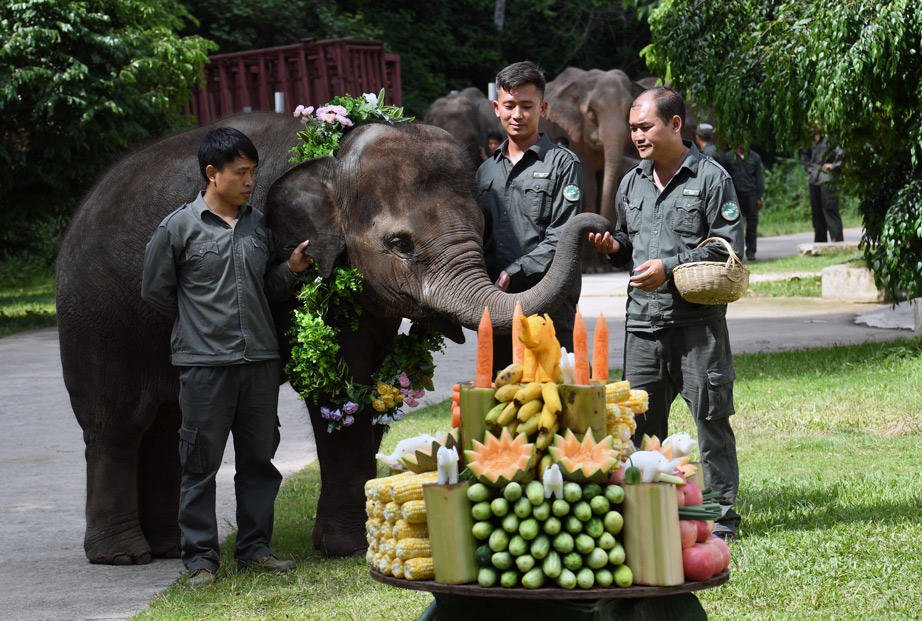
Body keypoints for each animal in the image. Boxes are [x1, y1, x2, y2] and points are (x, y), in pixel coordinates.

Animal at [54, 111, 608, 560]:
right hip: (93, 314)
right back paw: (122, 556)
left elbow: (372, 385)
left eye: (484, 226)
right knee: (118, 423)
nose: (600, 227)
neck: (335, 158)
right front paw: (349, 547)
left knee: (166, 423)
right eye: (400, 244)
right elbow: (339, 391)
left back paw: (166, 549)